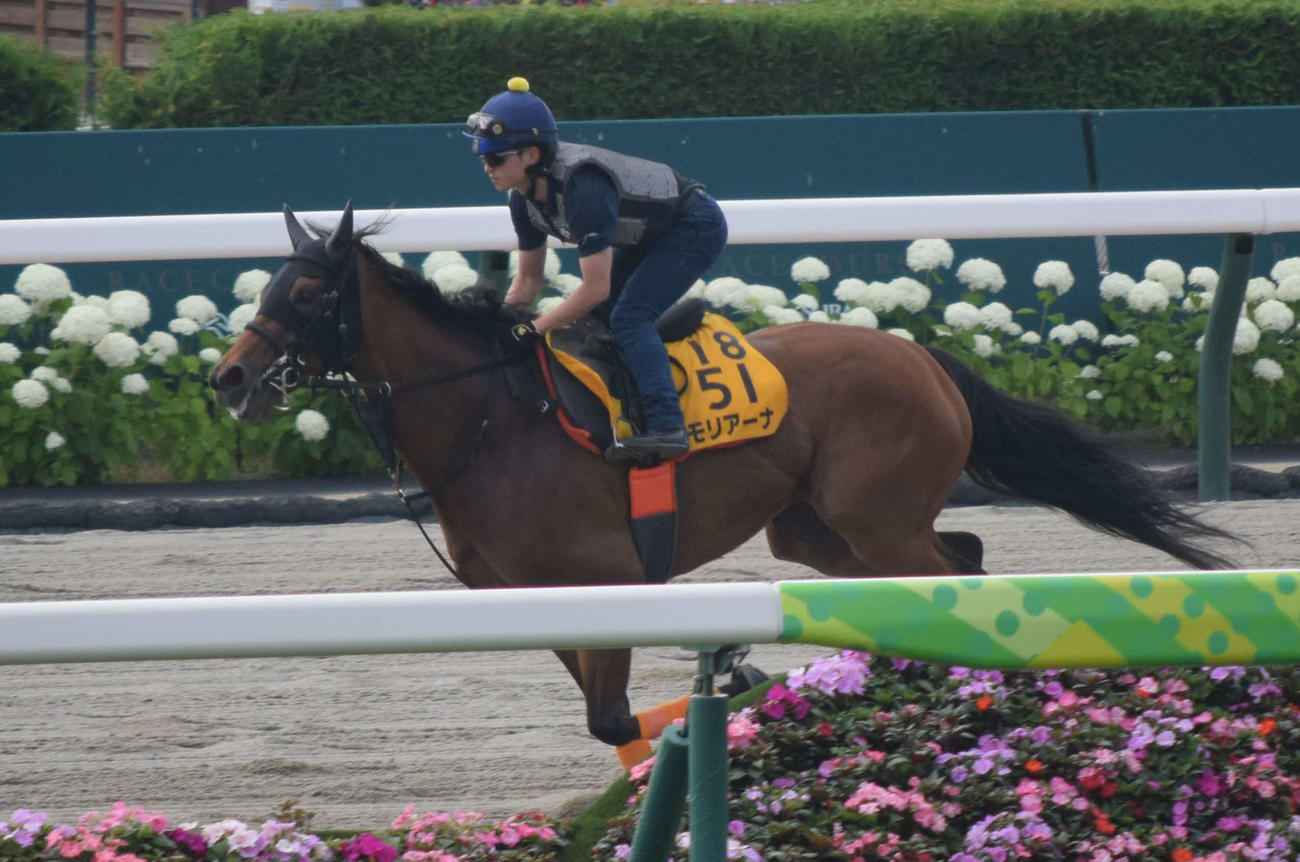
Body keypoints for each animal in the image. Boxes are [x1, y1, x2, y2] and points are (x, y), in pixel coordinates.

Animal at [210, 203, 1236, 762]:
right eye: (265, 287)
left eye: (308, 294)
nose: (229, 378)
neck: (492, 423)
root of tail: (923, 357)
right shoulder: (530, 600)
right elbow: (608, 723)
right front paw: (742, 681)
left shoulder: (609, 583)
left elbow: (615, 715)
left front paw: (738, 682)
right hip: (816, 529)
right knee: (958, 561)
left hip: (876, 518)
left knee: (956, 581)